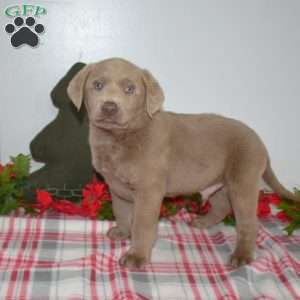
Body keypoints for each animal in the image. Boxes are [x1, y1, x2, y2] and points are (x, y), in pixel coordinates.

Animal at [67, 57, 298, 268]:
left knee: (249, 222)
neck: (117, 138)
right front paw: (122, 232)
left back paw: (242, 255)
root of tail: (260, 142)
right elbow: (121, 212)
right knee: (222, 206)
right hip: (221, 181)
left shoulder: (148, 190)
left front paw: (137, 256)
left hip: (243, 180)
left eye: (130, 89)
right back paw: (203, 222)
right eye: (97, 85)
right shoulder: (116, 187)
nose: (109, 106)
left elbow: (141, 224)